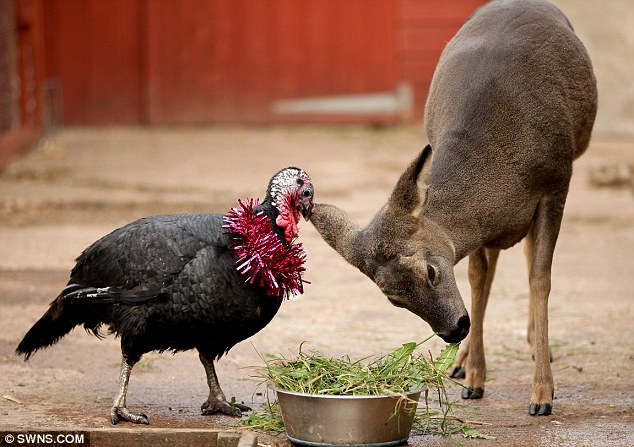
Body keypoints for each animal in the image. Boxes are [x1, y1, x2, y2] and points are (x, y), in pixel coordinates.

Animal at [308, 0, 596, 416]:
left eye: (429, 271)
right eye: (393, 298)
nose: (454, 330)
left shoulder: (557, 182)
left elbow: (540, 278)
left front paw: (542, 393)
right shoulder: (484, 224)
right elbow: (477, 275)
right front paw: (475, 376)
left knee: (526, 255)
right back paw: (464, 364)